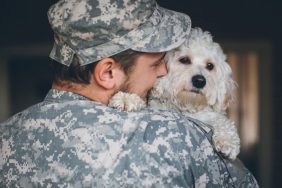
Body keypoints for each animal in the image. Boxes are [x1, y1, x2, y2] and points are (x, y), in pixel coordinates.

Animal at [109, 27, 240, 160]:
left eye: (210, 66)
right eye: (184, 60)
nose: (200, 81)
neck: (183, 105)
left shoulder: (206, 115)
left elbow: (221, 120)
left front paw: (228, 141)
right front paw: (126, 99)